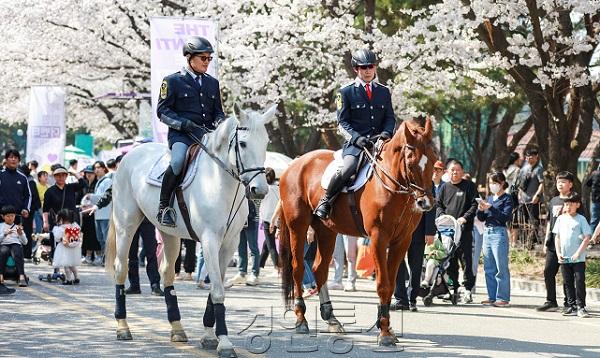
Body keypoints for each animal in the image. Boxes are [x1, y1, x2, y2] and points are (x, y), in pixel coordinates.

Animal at [105, 104, 276, 358]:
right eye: (243, 144)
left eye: (265, 142)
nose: (260, 190)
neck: (219, 182)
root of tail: (131, 154)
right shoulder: (209, 240)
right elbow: (217, 290)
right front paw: (225, 343)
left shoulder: (230, 243)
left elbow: (215, 288)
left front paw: (209, 336)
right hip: (126, 226)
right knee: (120, 269)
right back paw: (123, 327)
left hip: (170, 234)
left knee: (167, 272)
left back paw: (177, 328)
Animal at [276, 118, 436, 346]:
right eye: (411, 163)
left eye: (433, 160)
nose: (425, 203)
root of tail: (294, 164)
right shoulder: (379, 238)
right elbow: (383, 284)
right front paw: (384, 333)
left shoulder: (402, 241)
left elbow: (391, 283)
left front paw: (386, 327)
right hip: (297, 226)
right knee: (298, 268)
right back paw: (301, 320)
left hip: (326, 230)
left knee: (319, 269)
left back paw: (332, 319)